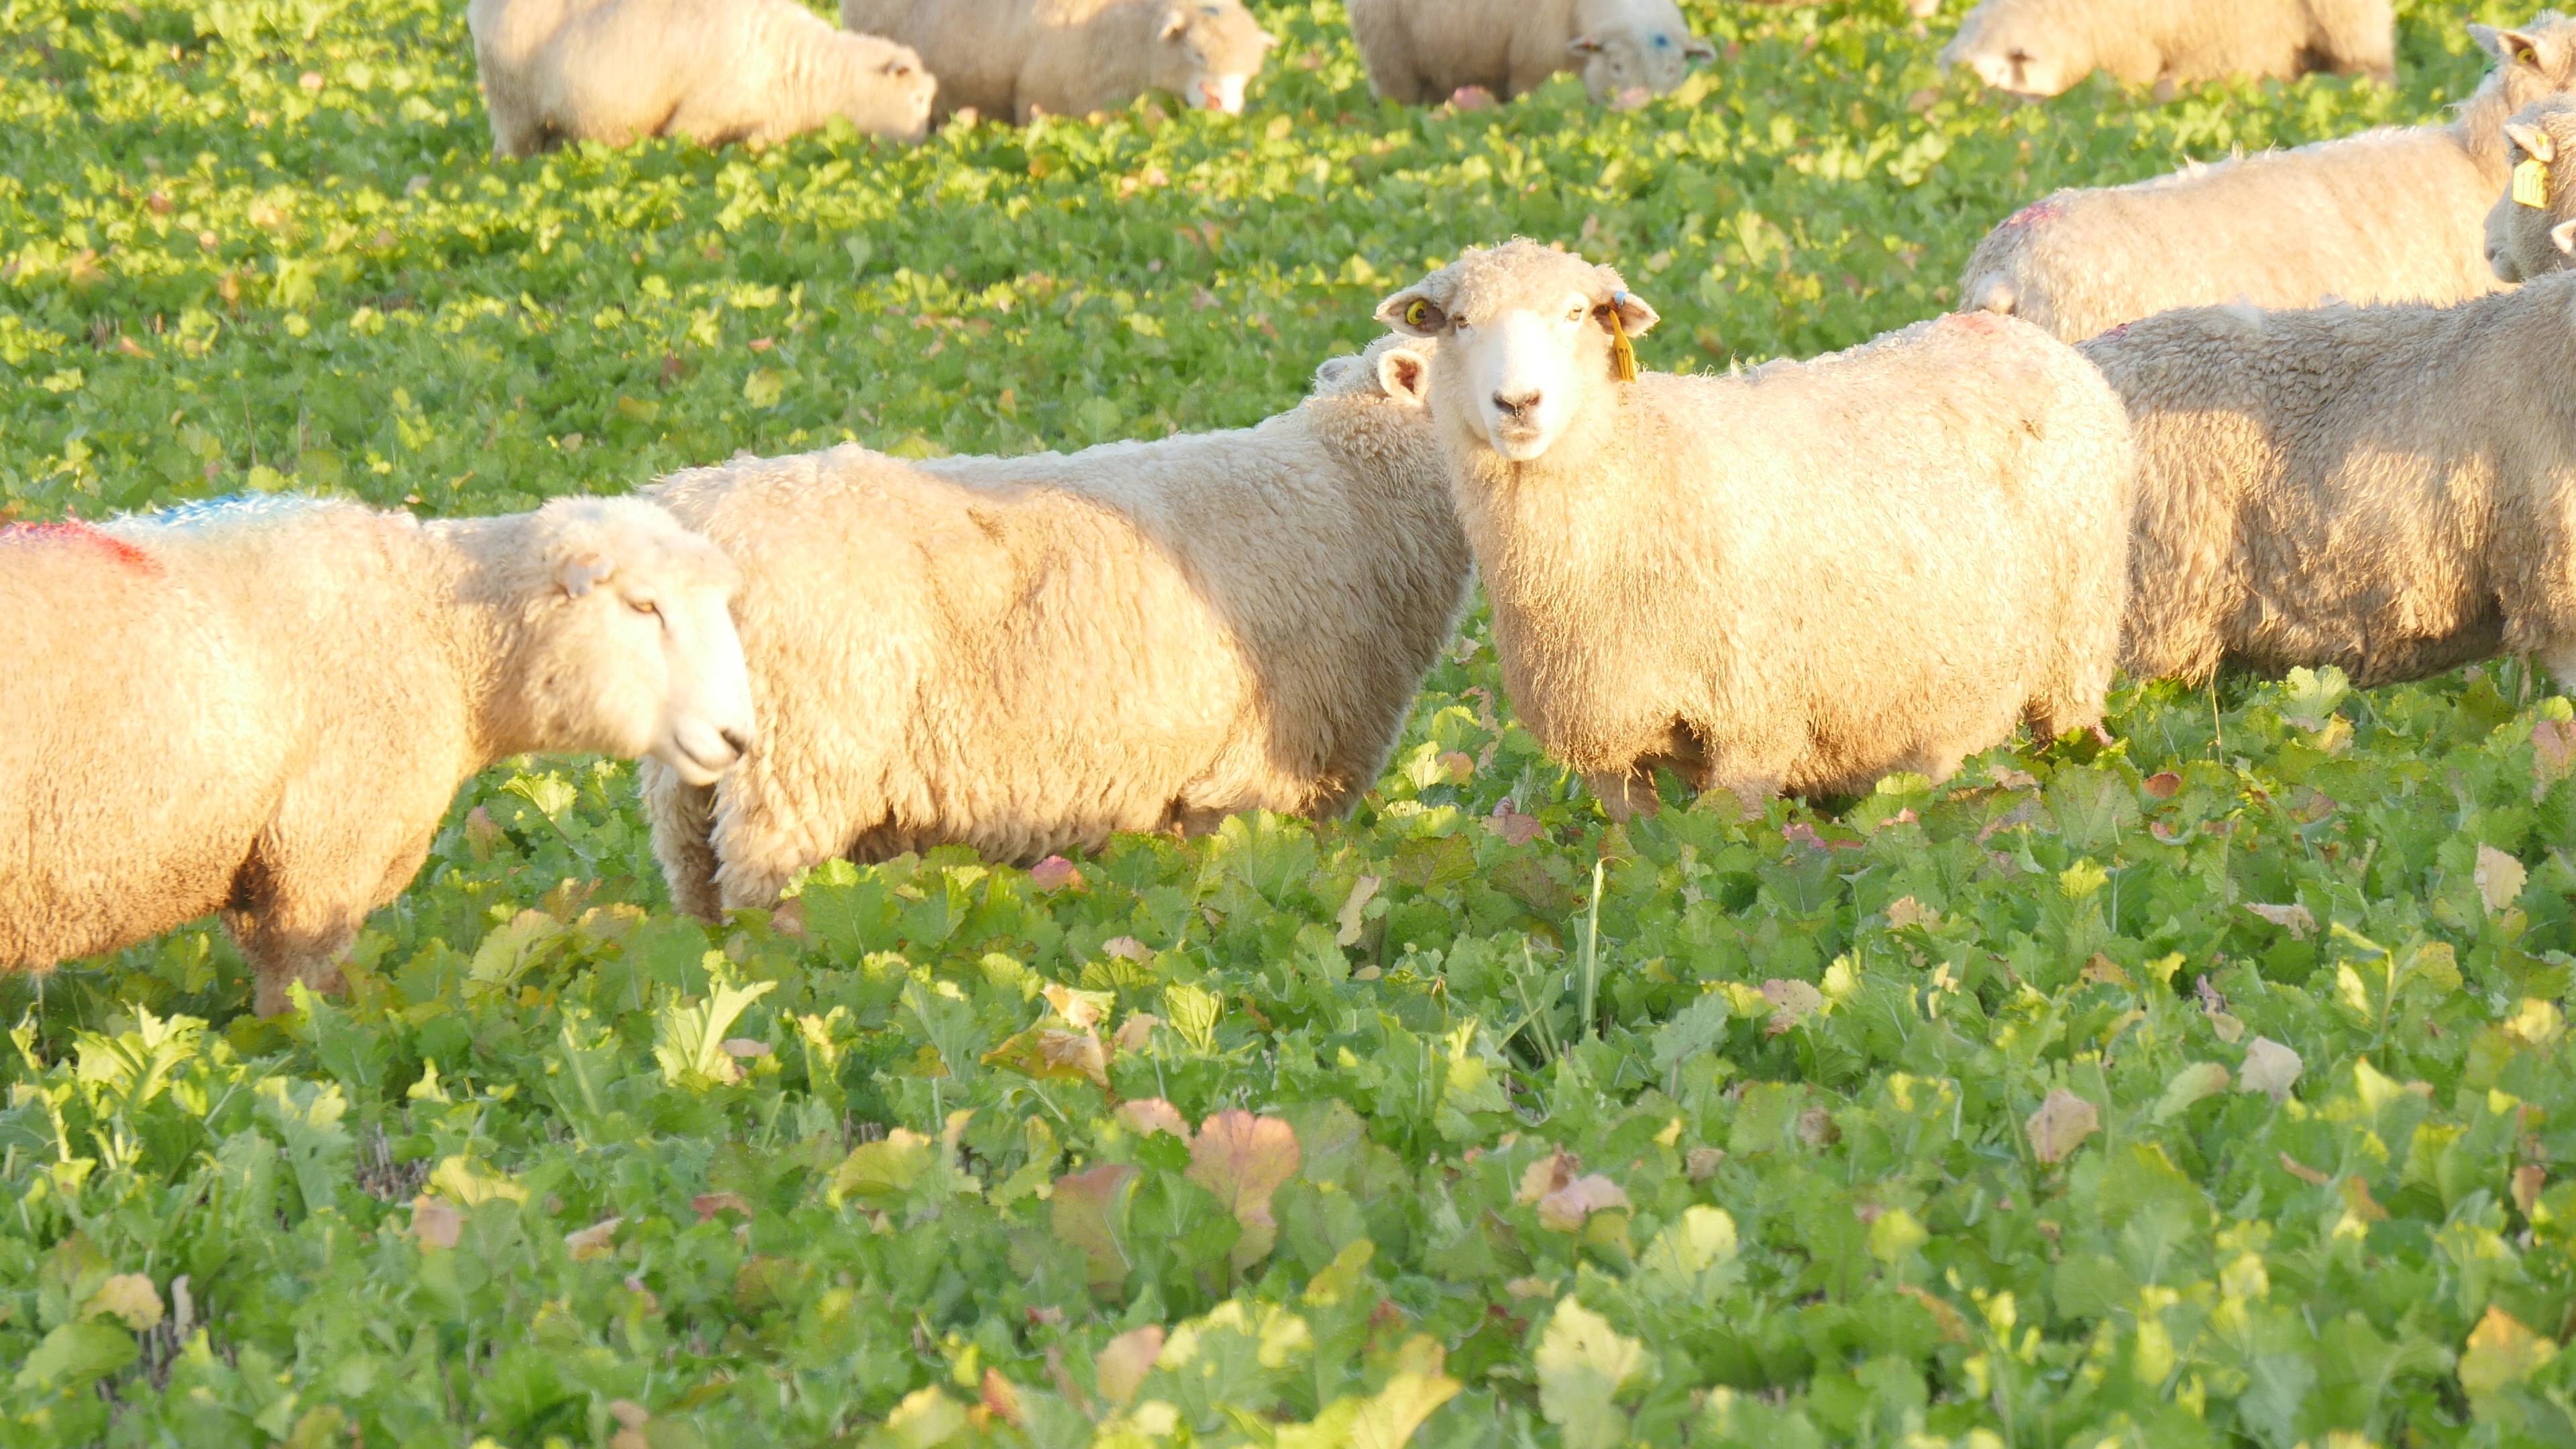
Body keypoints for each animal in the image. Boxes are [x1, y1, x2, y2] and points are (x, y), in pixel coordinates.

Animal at [467, 0, 935, 160]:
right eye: (917, 99)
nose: (924, 142)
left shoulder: (762, 127)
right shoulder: (699, 116)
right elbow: (684, 149)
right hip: (511, 104)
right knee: (511, 154)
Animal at [1372, 241, 2133, 818]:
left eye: (1576, 313)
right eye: (1459, 322)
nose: (1518, 403)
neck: (1636, 470)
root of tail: (2033, 339)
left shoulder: (1753, 725)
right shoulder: (1607, 747)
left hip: (2077, 652)